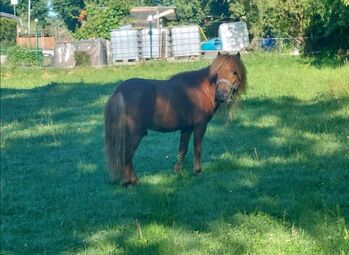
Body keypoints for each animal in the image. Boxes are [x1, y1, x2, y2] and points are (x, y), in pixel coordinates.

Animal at [104, 52, 246, 185]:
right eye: (217, 72)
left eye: (234, 72)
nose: (221, 95)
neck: (201, 89)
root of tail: (120, 91)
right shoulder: (200, 126)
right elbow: (197, 148)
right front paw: (197, 171)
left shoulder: (187, 128)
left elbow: (183, 149)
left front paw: (178, 170)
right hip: (135, 134)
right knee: (127, 155)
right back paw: (130, 181)